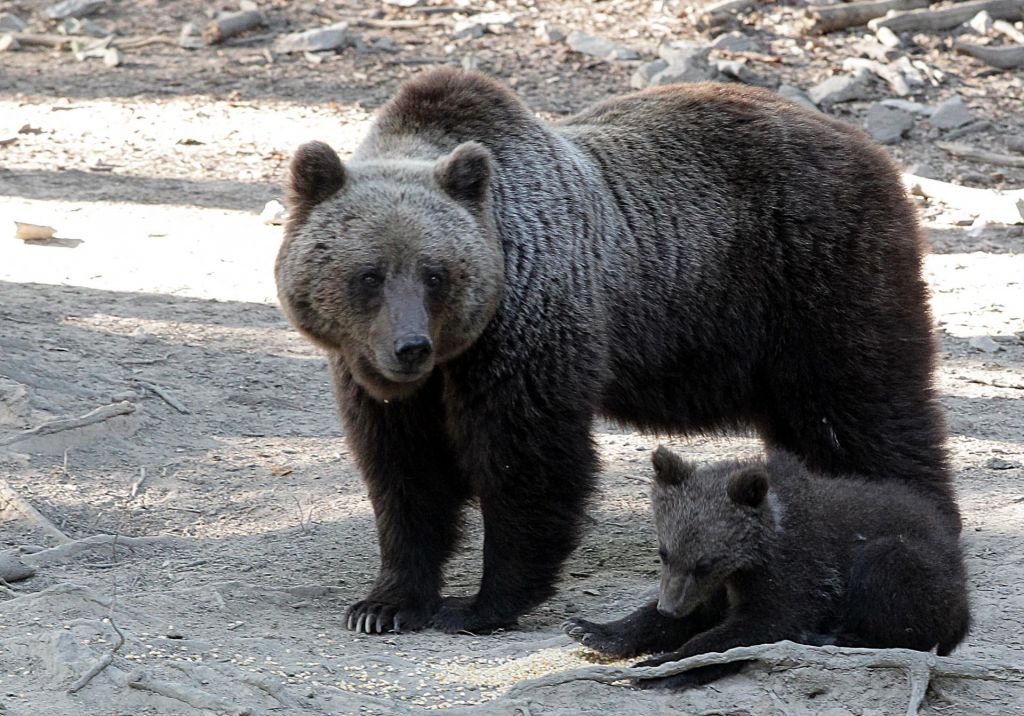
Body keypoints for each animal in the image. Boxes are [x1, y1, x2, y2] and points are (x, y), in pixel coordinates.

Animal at [276, 70, 954, 635]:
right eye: (368, 274)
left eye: (435, 273)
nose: (409, 347)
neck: (456, 354)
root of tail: (872, 150)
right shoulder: (377, 378)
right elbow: (405, 471)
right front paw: (385, 604)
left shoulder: (530, 321)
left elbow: (528, 461)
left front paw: (480, 604)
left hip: (819, 281)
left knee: (869, 413)